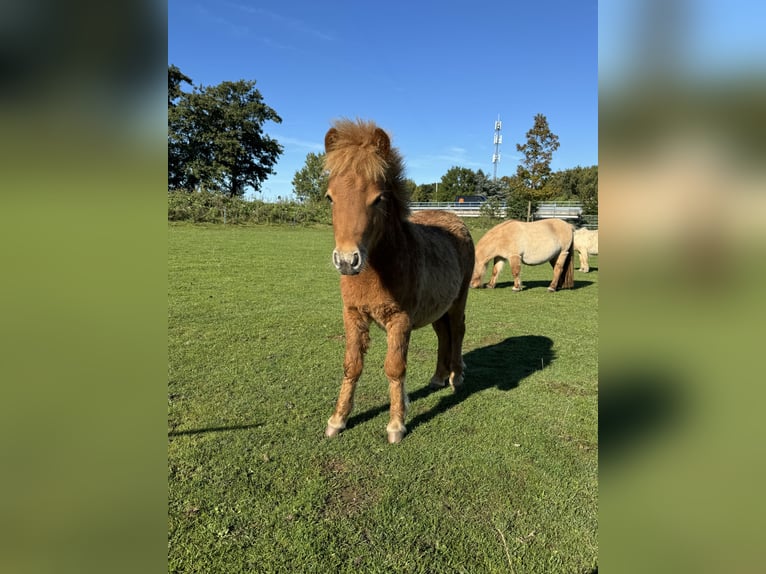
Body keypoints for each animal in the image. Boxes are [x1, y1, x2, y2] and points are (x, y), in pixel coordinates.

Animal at [322, 119, 474, 446]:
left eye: (378, 198)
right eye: (330, 197)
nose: (347, 260)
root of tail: (457, 220)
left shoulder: (400, 320)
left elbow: (394, 368)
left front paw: (396, 425)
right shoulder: (353, 315)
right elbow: (351, 366)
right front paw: (337, 420)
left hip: (458, 301)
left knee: (457, 331)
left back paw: (455, 377)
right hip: (437, 308)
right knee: (443, 335)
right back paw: (438, 377)